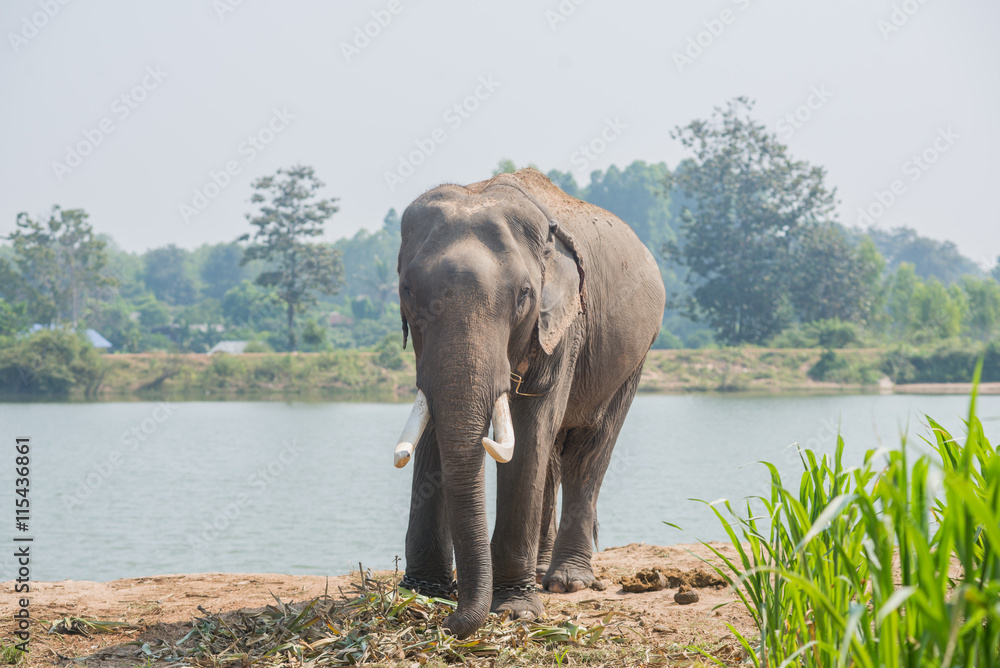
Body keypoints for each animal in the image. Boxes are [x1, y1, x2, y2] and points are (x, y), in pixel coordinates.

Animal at [392, 168, 665, 638]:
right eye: (407, 289)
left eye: (523, 295)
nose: (450, 622)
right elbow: (431, 424)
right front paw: (420, 595)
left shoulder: (565, 325)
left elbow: (530, 428)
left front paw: (515, 610)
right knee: (554, 458)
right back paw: (540, 574)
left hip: (635, 357)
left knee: (588, 452)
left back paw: (566, 581)